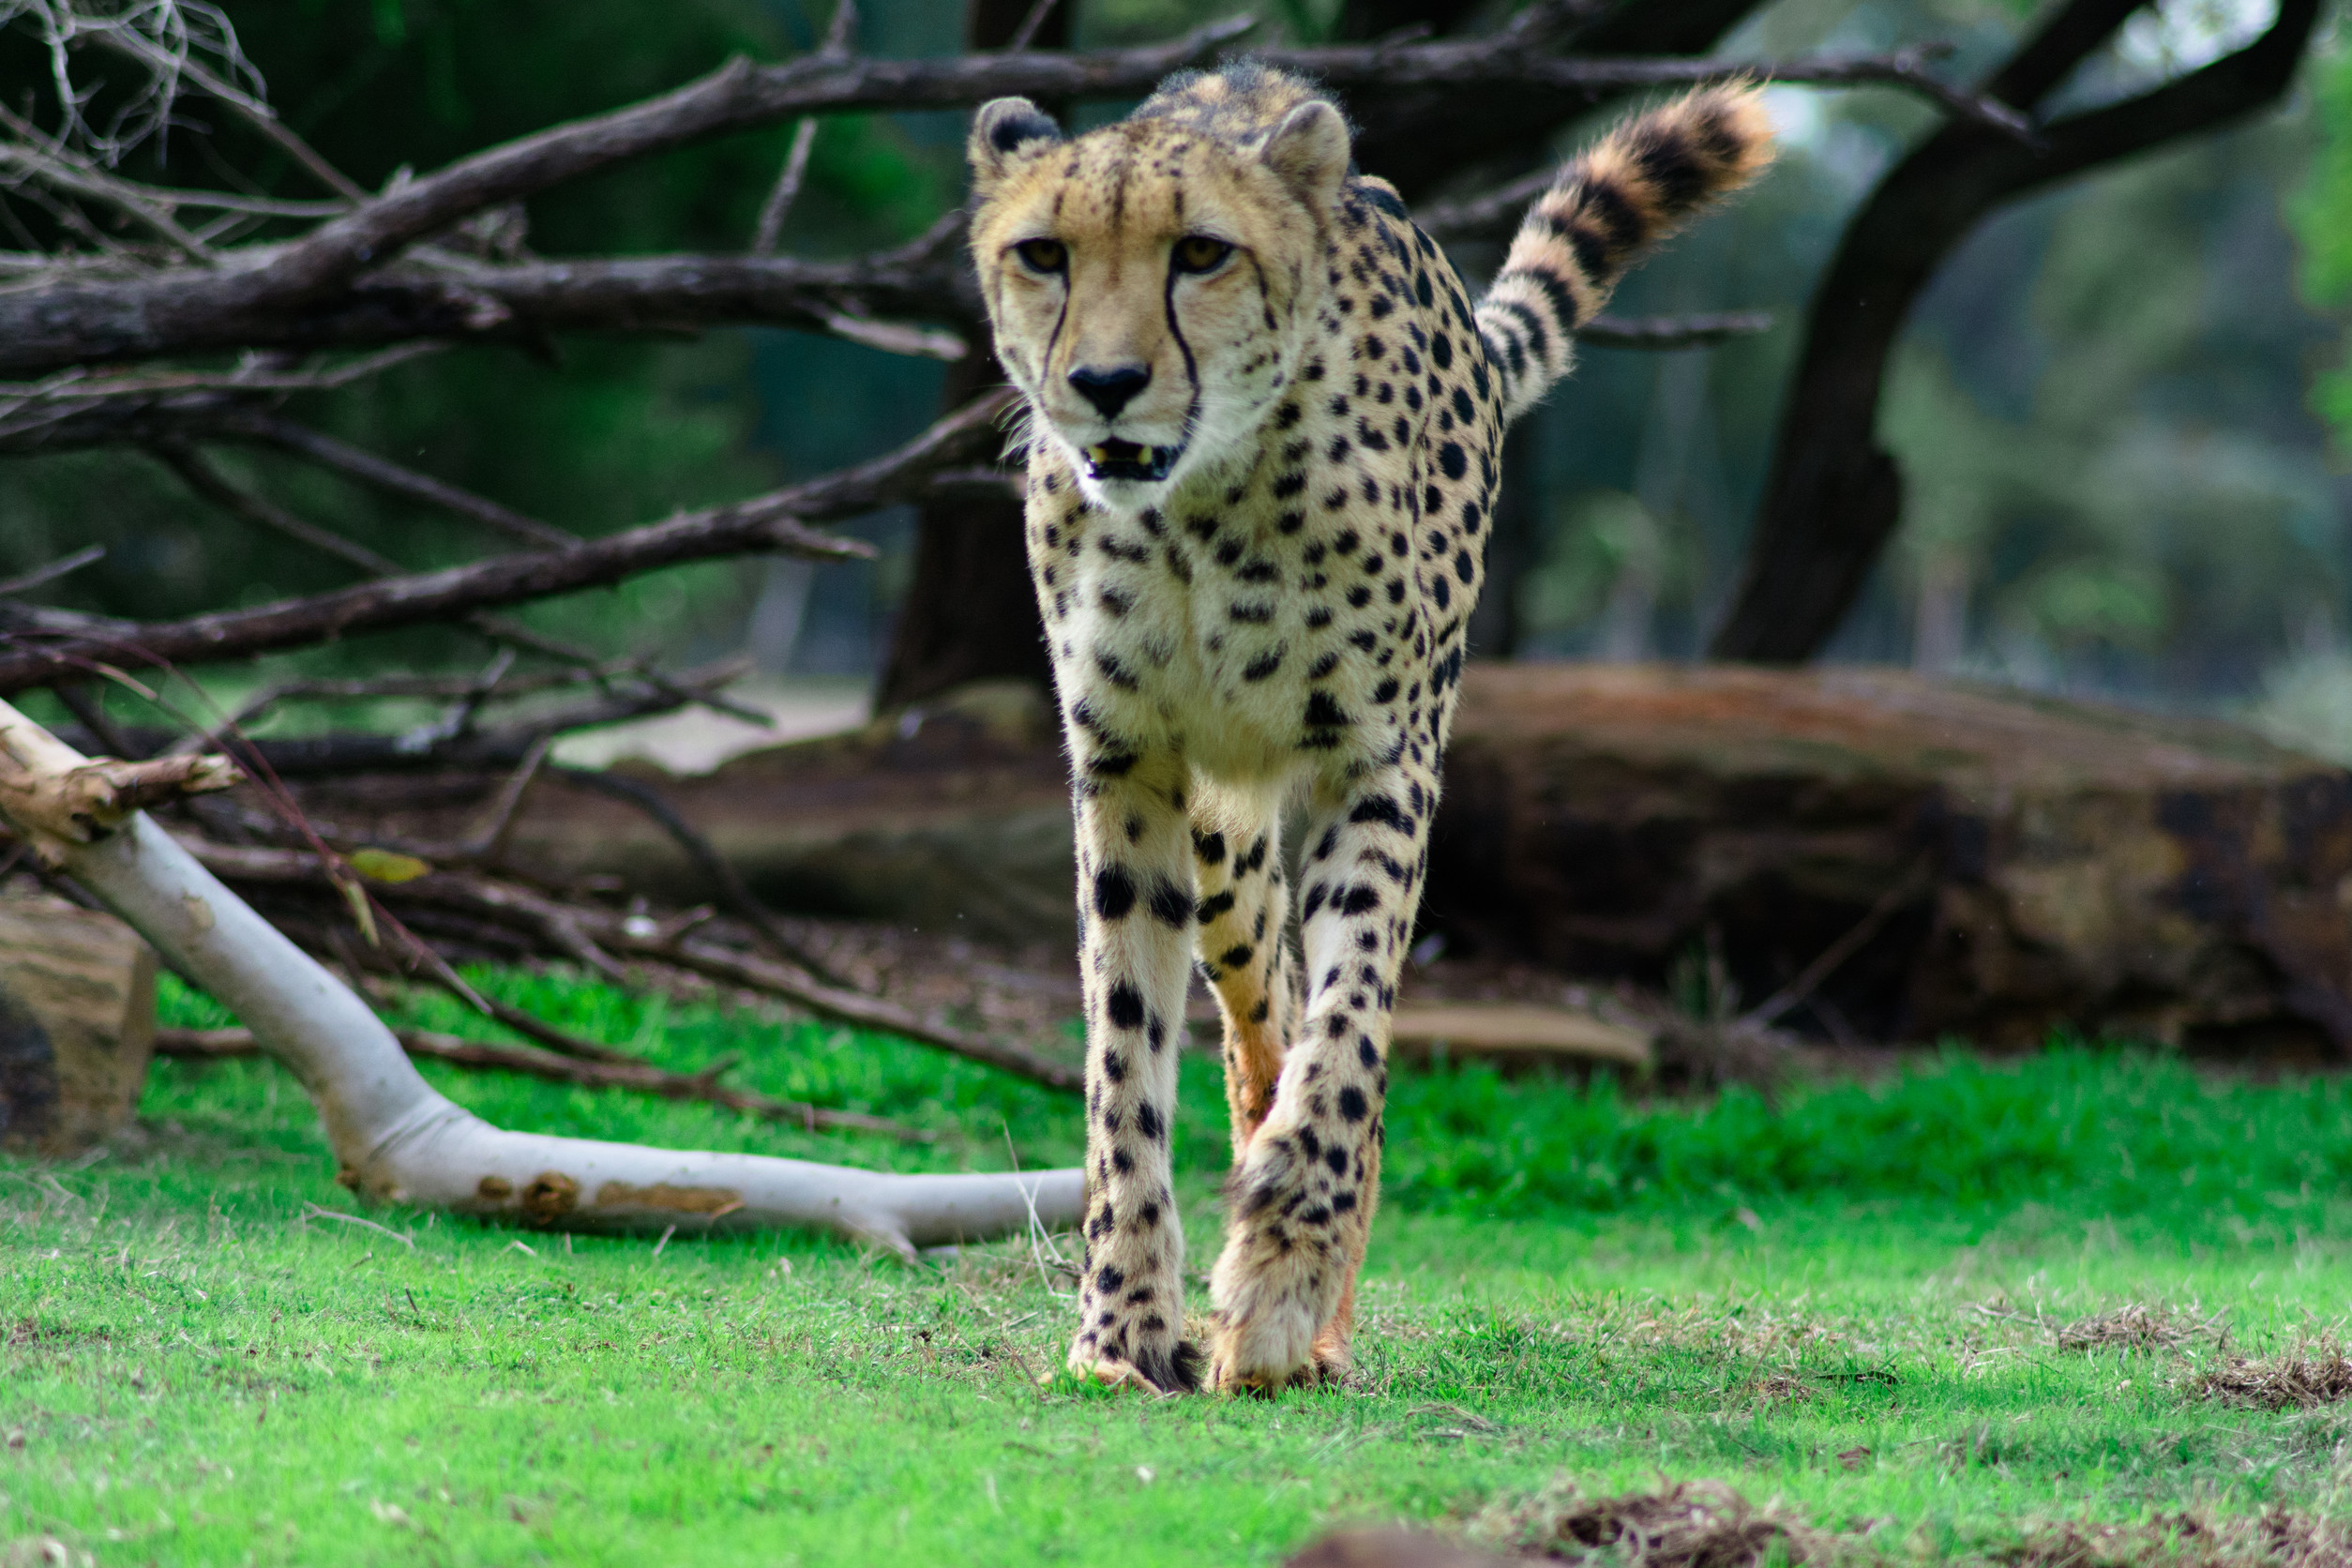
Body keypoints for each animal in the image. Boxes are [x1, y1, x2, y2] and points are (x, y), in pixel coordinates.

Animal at [964, 61, 1769, 1391]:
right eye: (1044, 254)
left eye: (1201, 252)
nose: (1105, 387)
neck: (1202, 503)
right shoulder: (1127, 765)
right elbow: (1123, 1059)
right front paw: (1123, 1324)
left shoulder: (1383, 761)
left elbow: (1351, 1043)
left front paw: (1284, 1289)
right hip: (1225, 842)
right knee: (1263, 1020)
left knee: (1327, 1037)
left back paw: (1316, 1304)